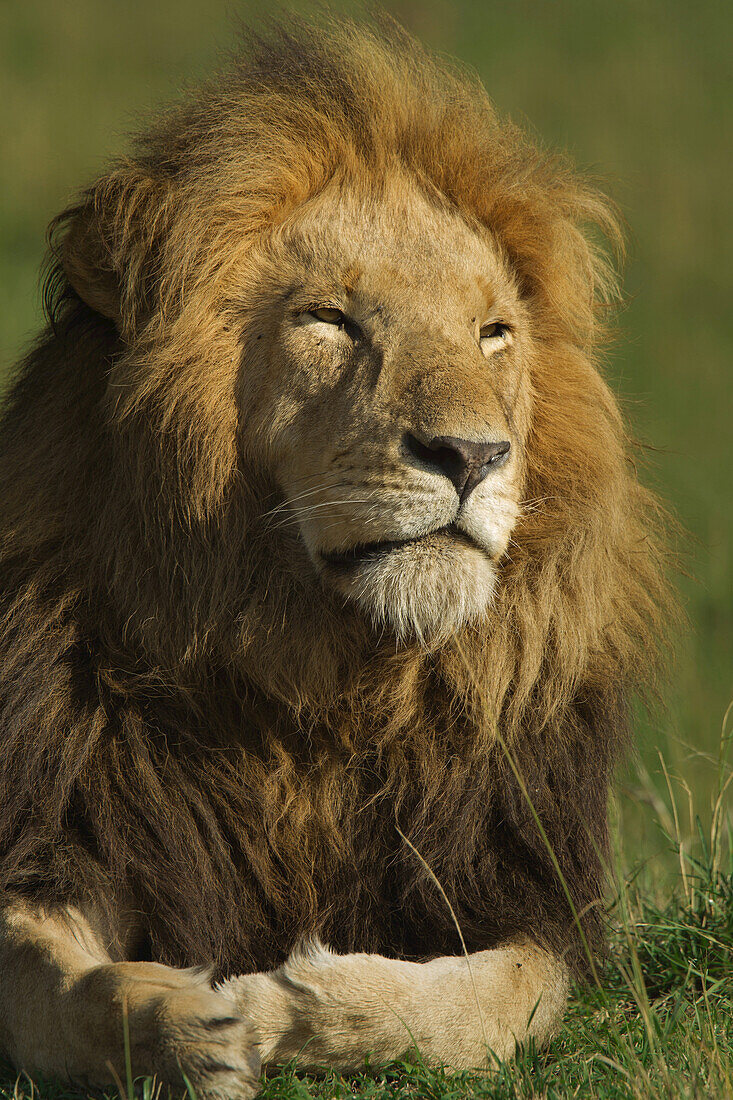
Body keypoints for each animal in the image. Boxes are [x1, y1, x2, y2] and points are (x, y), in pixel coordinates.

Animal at [0, 15, 669, 1100]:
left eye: (492, 333)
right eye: (329, 319)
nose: (472, 455)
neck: (322, 682)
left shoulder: (523, 885)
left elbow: (488, 1002)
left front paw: (297, 1003)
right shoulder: (59, 831)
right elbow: (52, 985)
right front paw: (186, 1021)